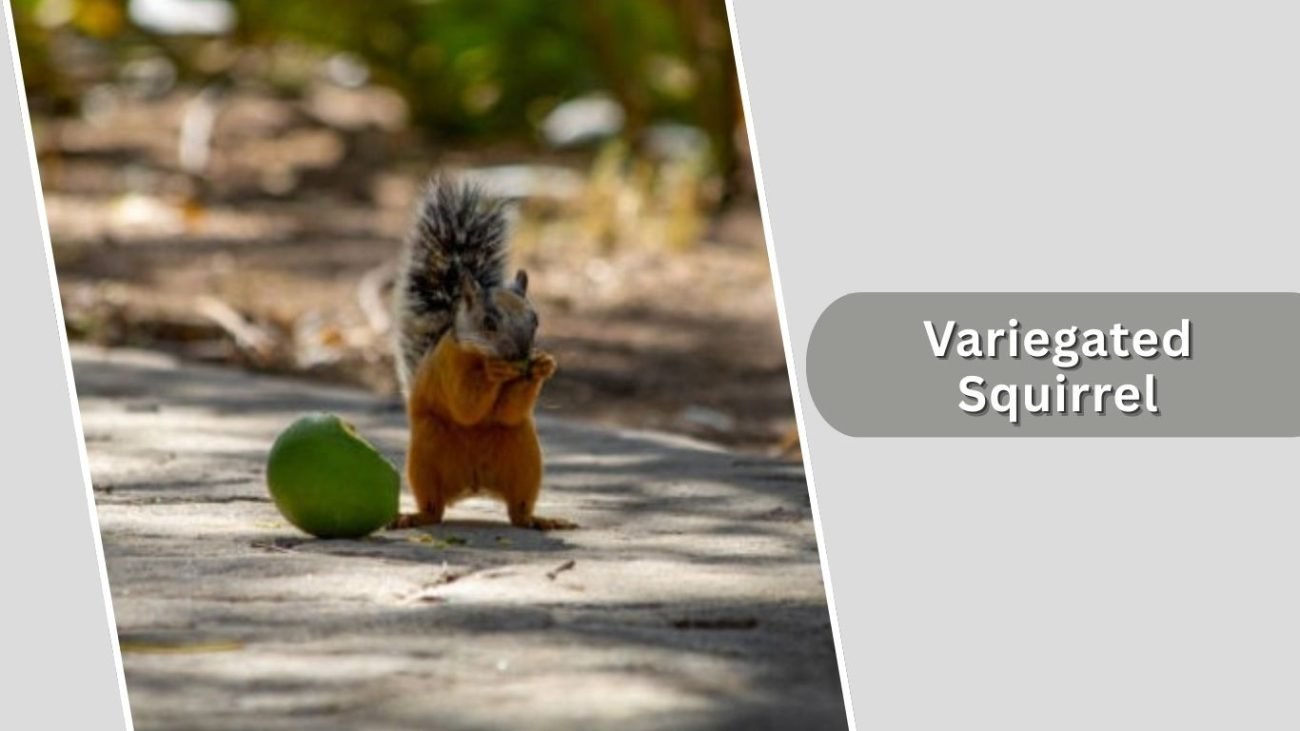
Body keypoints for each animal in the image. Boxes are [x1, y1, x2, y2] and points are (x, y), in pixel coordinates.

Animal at [389, 177, 574, 531]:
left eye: (536, 319)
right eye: (489, 322)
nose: (521, 352)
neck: (480, 355)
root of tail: (473, 486)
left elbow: (509, 412)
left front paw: (543, 365)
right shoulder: (449, 365)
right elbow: (466, 406)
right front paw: (493, 373)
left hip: (525, 457)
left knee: (518, 511)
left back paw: (540, 519)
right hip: (426, 455)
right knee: (434, 508)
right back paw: (413, 516)